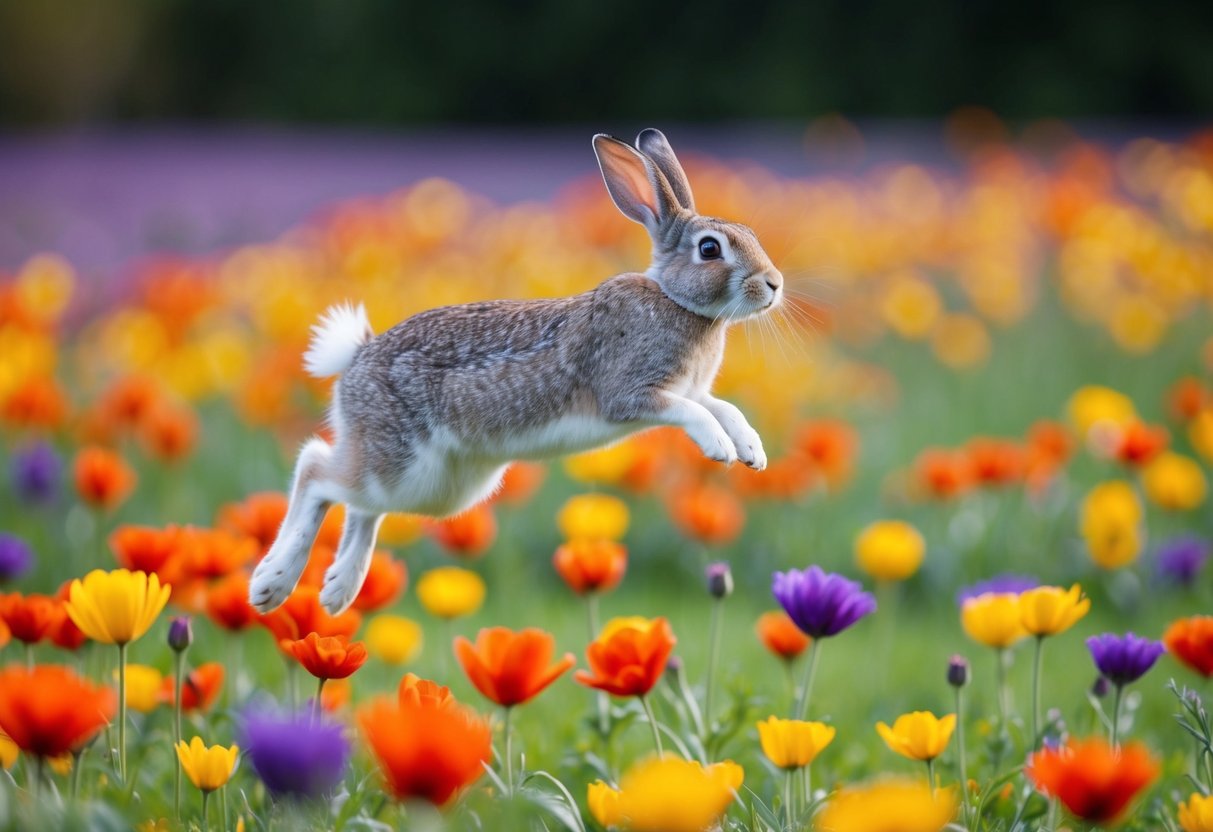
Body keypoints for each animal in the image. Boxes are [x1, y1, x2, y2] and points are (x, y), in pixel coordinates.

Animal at [249, 128, 784, 615]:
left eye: (752, 236)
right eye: (710, 249)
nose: (774, 284)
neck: (678, 302)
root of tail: (355, 360)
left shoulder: (695, 389)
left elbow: (724, 408)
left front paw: (752, 452)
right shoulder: (633, 393)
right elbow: (693, 413)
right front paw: (720, 450)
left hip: (434, 487)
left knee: (360, 504)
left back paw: (338, 589)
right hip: (401, 461)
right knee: (316, 471)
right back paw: (271, 583)